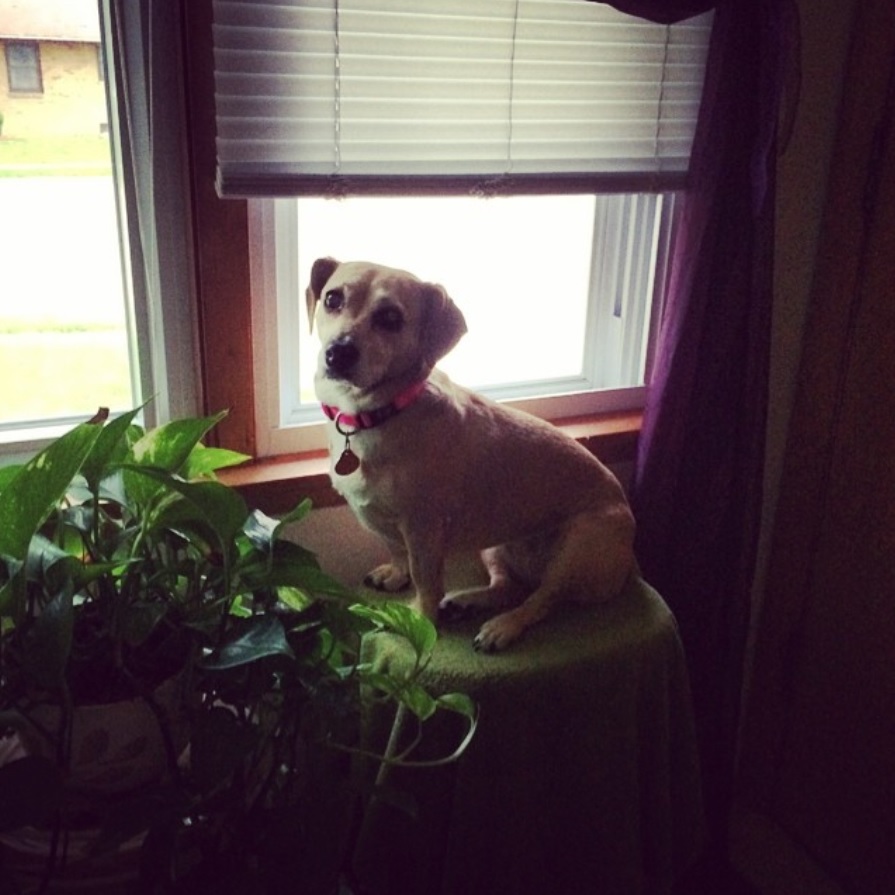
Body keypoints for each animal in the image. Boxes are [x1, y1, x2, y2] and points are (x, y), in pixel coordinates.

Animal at [308, 258, 636, 652]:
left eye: (390, 318)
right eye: (332, 299)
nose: (338, 352)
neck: (380, 413)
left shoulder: (423, 529)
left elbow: (425, 579)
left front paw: (419, 617)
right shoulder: (384, 522)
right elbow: (397, 551)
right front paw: (396, 574)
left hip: (577, 548)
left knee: (542, 600)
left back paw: (502, 626)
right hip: (493, 547)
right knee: (509, 587)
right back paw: (468, 601)